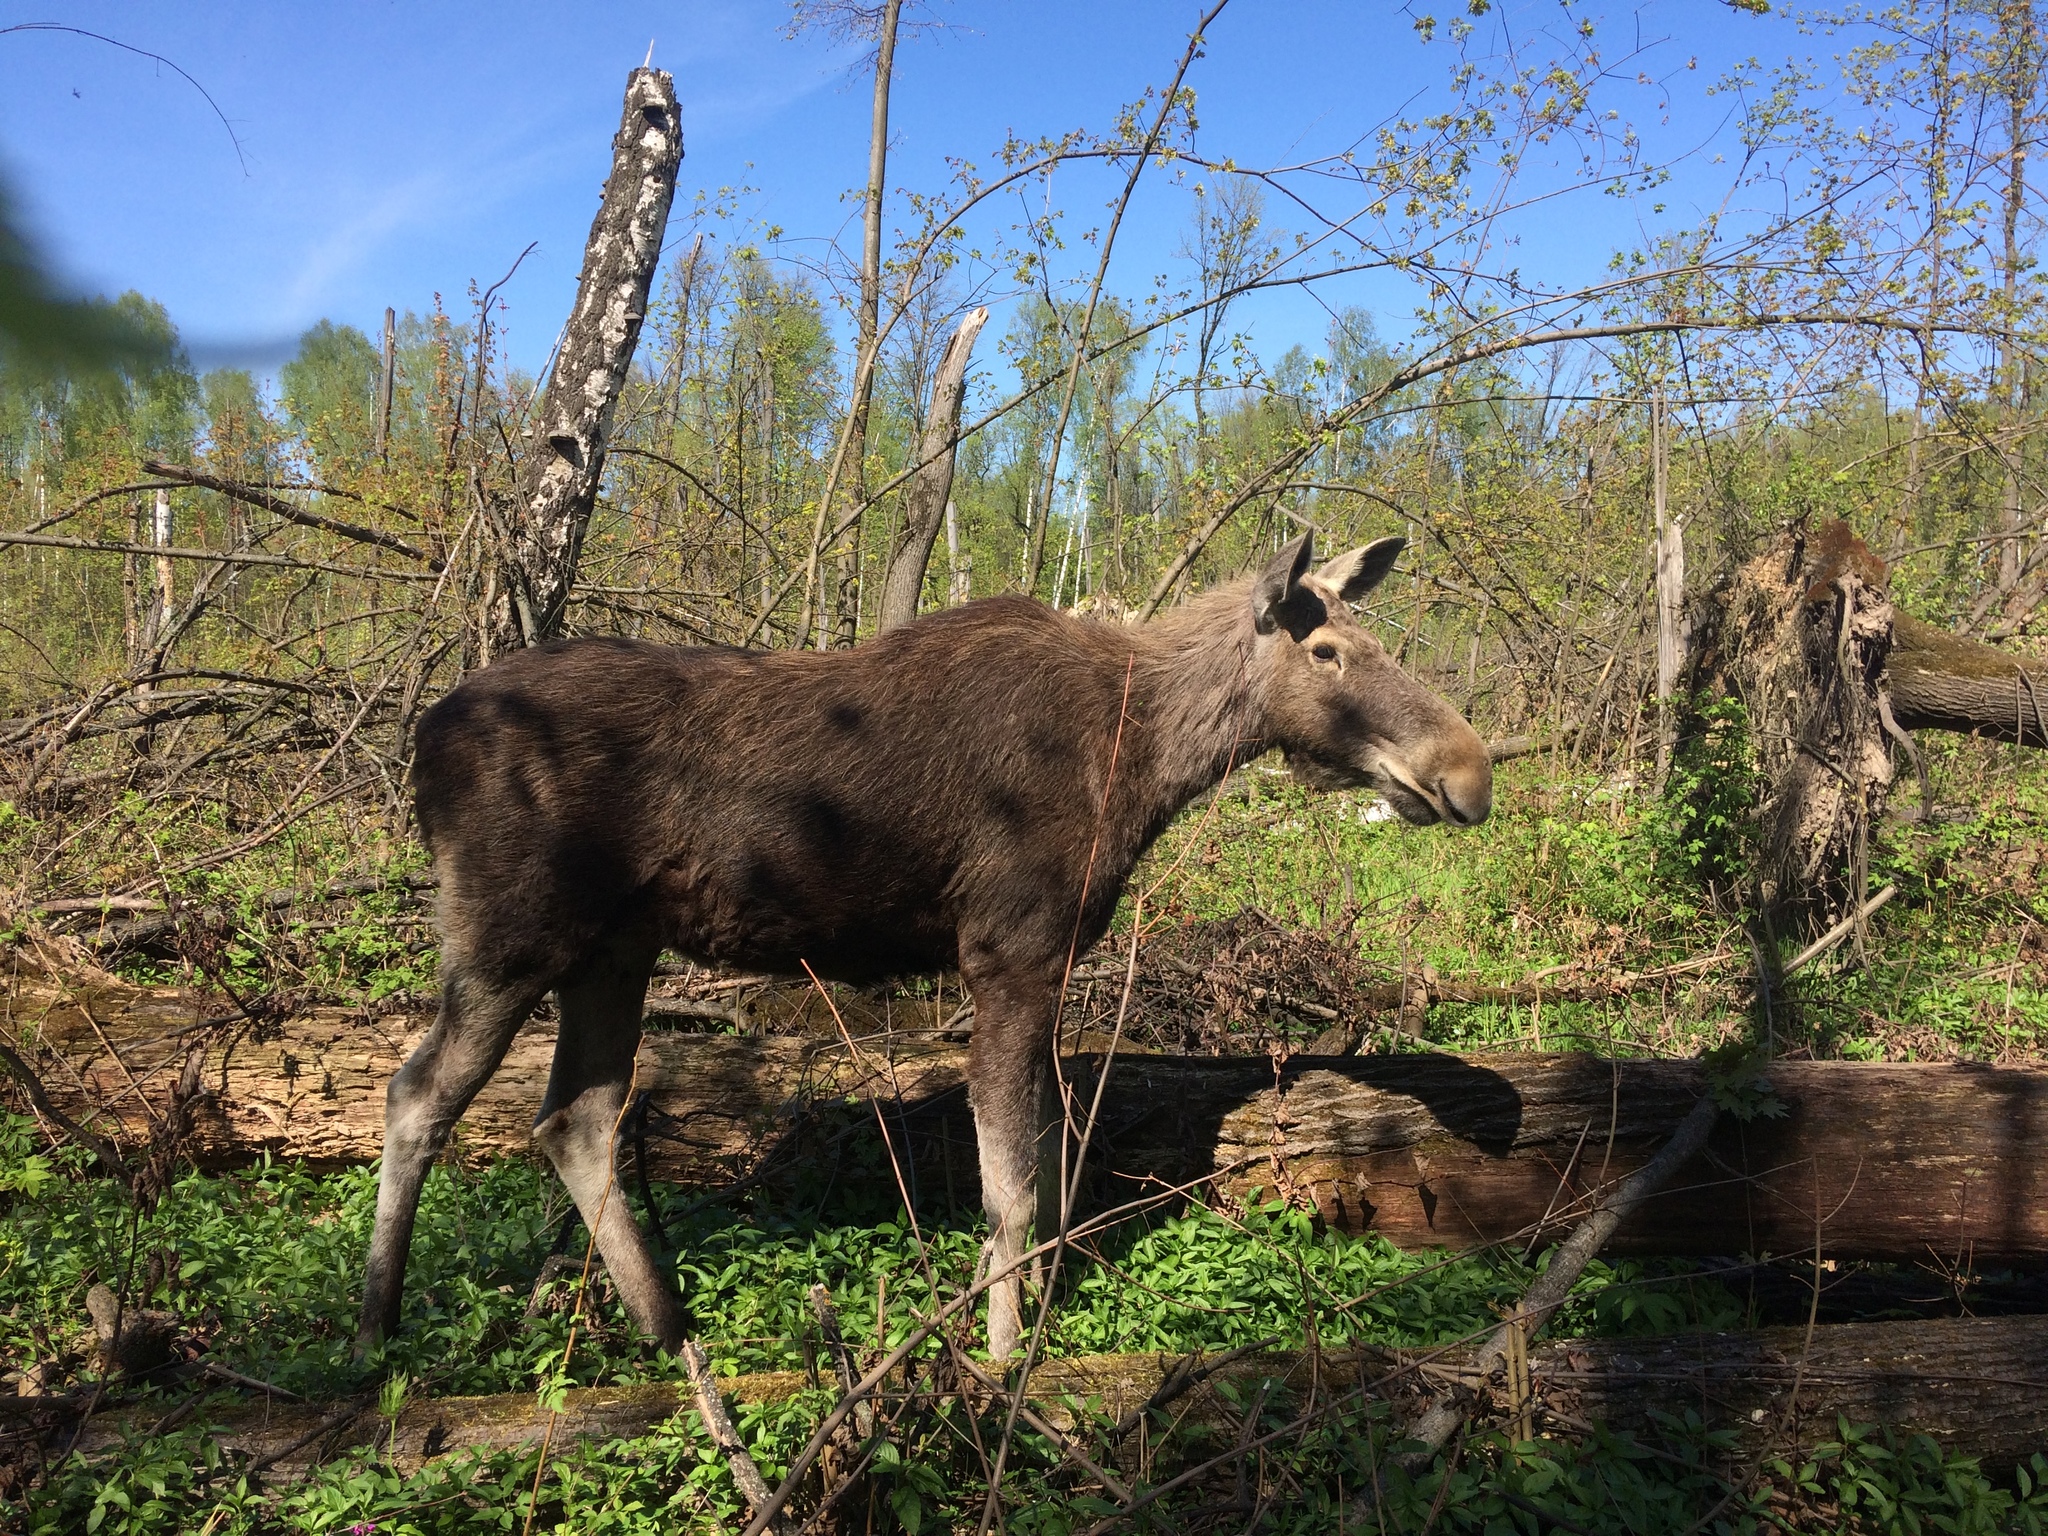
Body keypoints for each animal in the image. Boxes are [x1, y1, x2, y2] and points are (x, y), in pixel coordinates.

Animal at [360, 528, 1499, 1359]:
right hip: (506, 940)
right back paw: (376, 1332)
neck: (1149, 757)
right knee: (419, 1095)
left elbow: (1047, 1165)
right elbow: (1009, 1190)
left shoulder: (1043, 964)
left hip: (613, 954)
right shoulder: (1008, 951)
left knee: (575, 1119)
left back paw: (667, 1328)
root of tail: (421, 736)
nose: (1468, 771)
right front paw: (1000, 1359)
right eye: (1327, 652)